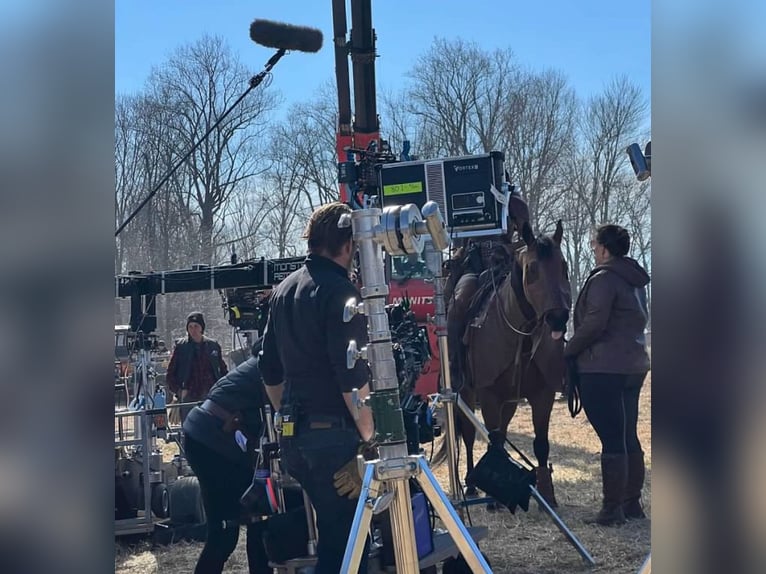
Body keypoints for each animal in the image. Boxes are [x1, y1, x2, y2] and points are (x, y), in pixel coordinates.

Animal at [440, 220, 572, 508]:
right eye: (531, 269)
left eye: (564, 266)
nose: (558, 318)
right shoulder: (489, 395)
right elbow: (495, 442)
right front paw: (493, 496)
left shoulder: (542, 395)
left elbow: (541, 444)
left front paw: (546, 494)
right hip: (466, 393)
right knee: (469, 435)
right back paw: (470, 485)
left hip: (509, 400)